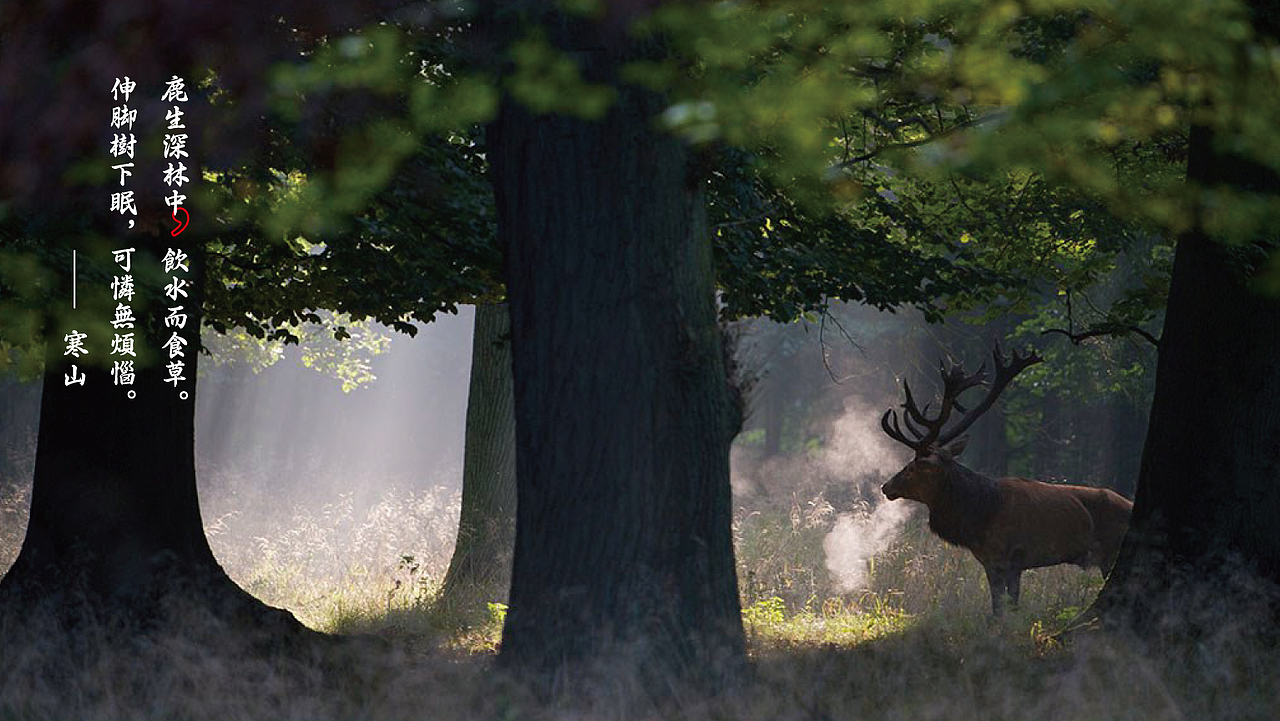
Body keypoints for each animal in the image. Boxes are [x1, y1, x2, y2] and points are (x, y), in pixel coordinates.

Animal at [879, 343, 1133, 616]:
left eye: (913, 467)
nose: (886, 486)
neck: (978, 516)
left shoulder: (1009, 556)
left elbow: (1005, 608)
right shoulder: (995, 562)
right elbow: (1001, 606)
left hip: (1111, 551)